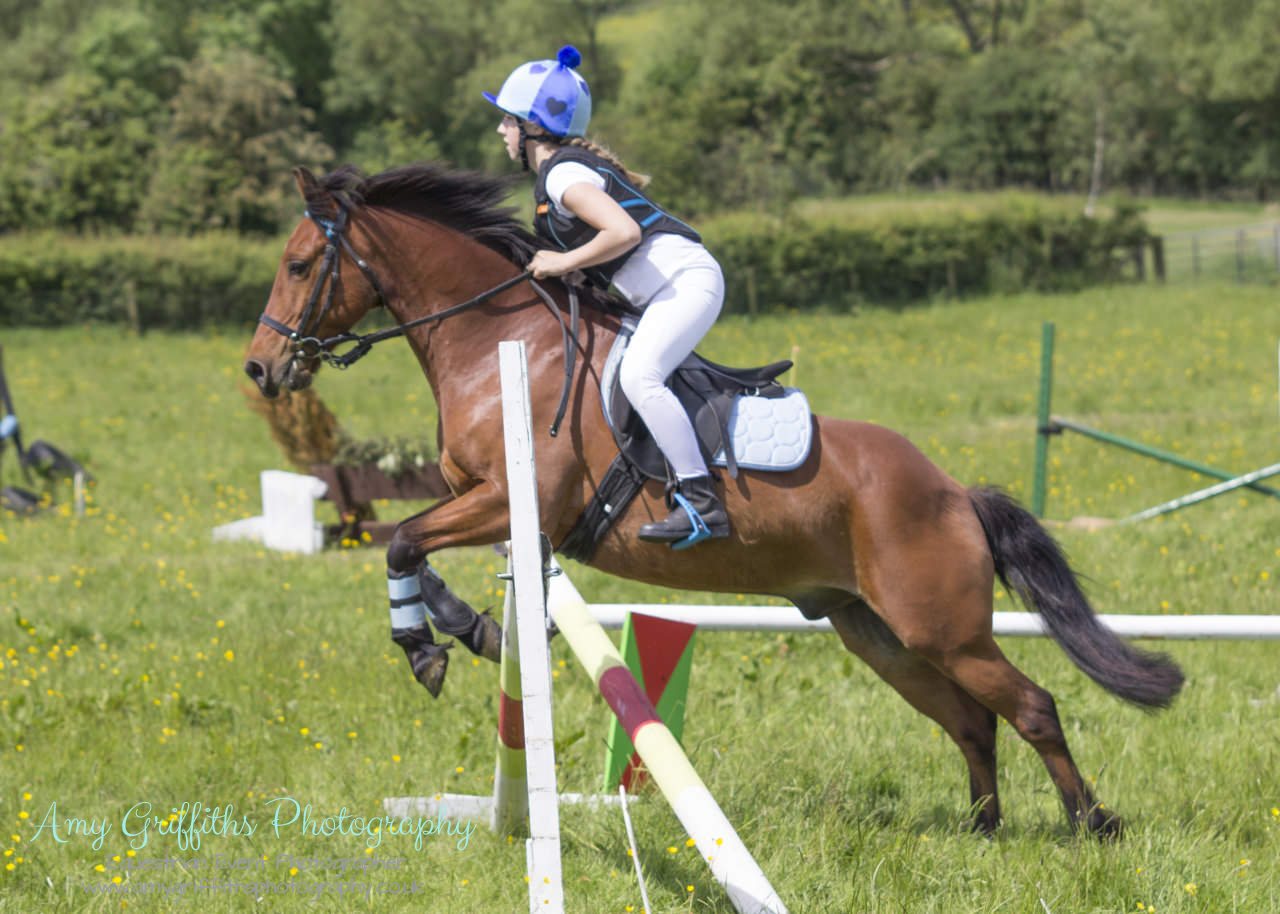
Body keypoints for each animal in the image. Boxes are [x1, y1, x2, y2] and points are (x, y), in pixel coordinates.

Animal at [244, 161, 1182, 834]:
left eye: (299, 264)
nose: (261, 368)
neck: (498, 337)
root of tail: (954, 491)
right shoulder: (491, 508)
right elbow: (420, 547)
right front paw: (466, 627)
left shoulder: (514, 500)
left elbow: (405, 538)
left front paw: (425, 647)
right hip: (877, 633)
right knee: (971, 720)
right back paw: (983, 829)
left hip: (942, 628)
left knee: (1032, 707)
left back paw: (1092, 824)